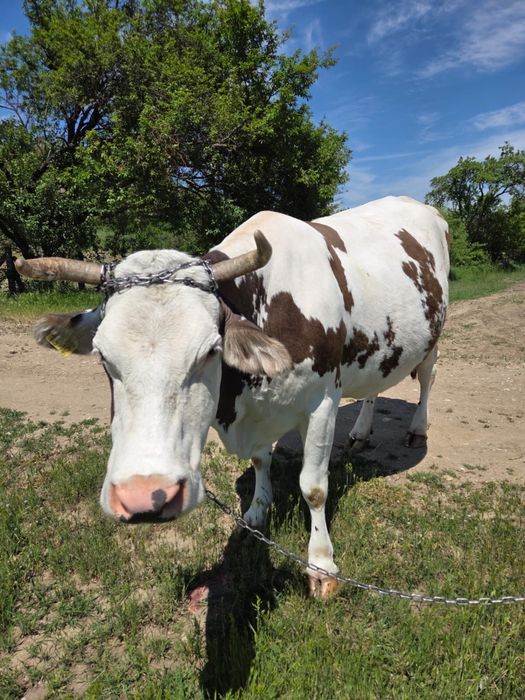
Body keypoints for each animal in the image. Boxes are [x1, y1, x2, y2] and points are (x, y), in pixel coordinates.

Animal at [16, 196, 449, 597]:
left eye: (211, 350)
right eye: (103, 356)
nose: (145, 496)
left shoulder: (323, 402)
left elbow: (313, 486)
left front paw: (321, 565)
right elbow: (260, 461)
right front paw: (258, 509)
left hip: (432, 336)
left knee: (428, 378)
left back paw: (417, 429)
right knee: (375, 388)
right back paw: (360, 433)